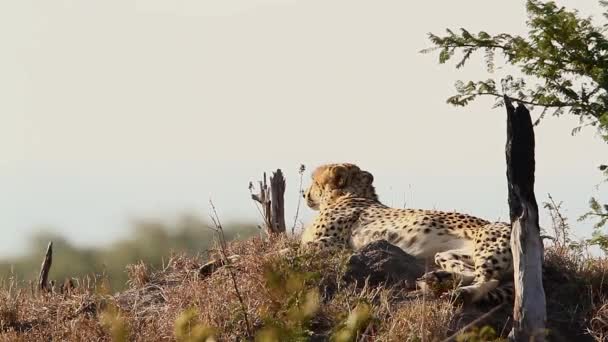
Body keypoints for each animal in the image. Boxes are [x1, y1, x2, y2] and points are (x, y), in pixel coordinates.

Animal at [300, 162, 512, 302]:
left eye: (314, 182)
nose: (303, 193)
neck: (349, 194)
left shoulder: (336, 242)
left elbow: (302, 246)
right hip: (446, 254)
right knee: (473, 273)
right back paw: (439, 279)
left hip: (487, 245)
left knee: (490, 279)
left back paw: (462, 292)